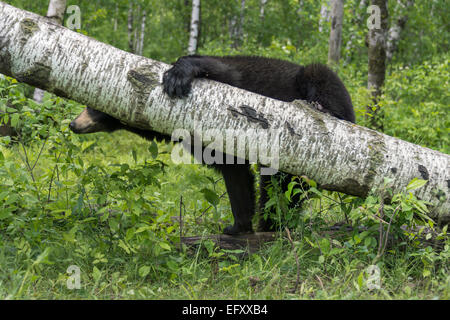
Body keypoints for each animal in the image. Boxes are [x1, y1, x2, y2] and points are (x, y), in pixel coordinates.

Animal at [69, 55, 356, 235]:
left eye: (91, 105)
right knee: (282, 183)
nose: (73, 124)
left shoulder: (230, 91)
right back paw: (272, 222)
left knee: (322, 79)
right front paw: (238, 226)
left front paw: (178, 75)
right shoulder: (206, 142)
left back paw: (322, 108)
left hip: (320, 87)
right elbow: (234, 172)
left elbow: (223, 72)